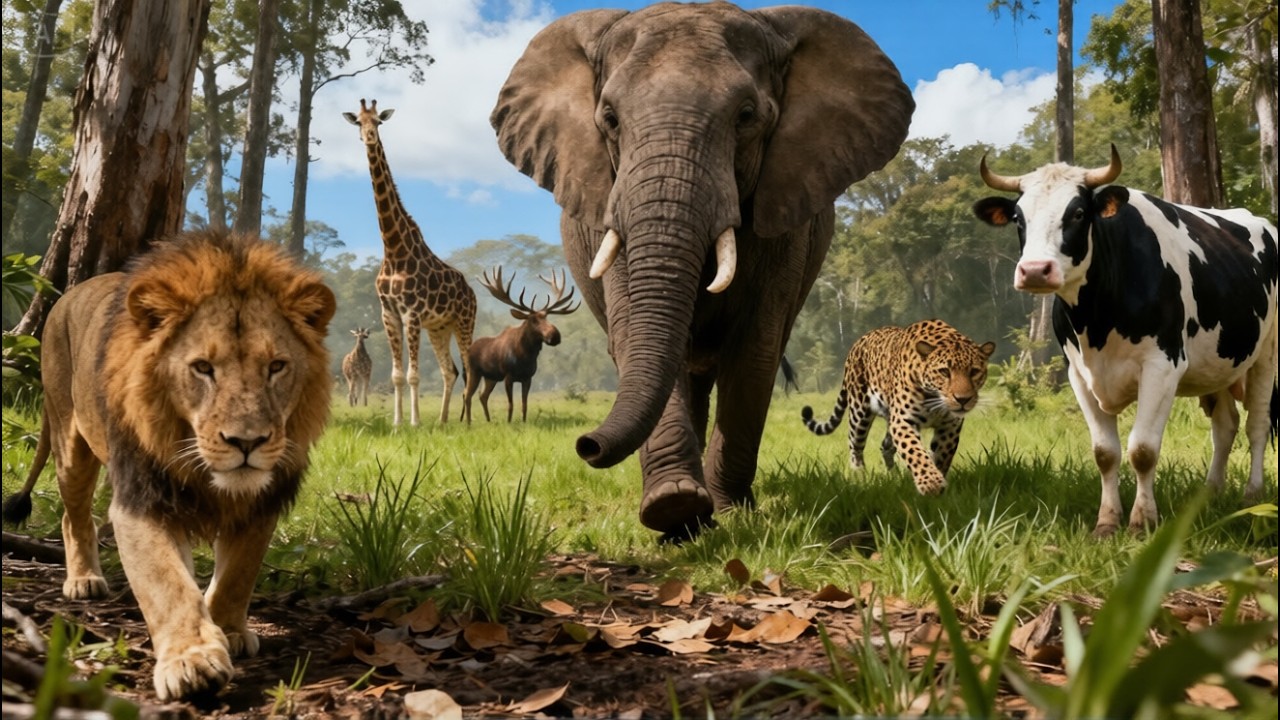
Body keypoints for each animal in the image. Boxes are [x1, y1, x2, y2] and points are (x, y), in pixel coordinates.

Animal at [2, 229, 335, 701]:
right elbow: (165, 583)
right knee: (74, 518)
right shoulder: (141, 499)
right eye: (202, 368)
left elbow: (238, 574)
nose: (247, 442)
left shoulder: (261, 504)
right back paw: (84, 580)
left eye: (276, 366)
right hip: (69, 438)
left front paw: (229, 629)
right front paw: (190, 659)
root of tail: (67, 296)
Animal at [491, 1, 914, 539]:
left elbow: (755, 349)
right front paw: (674, 510)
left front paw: (731, 512)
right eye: (609, 119)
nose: (587, 444)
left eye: (747, 116)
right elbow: (634, 334)